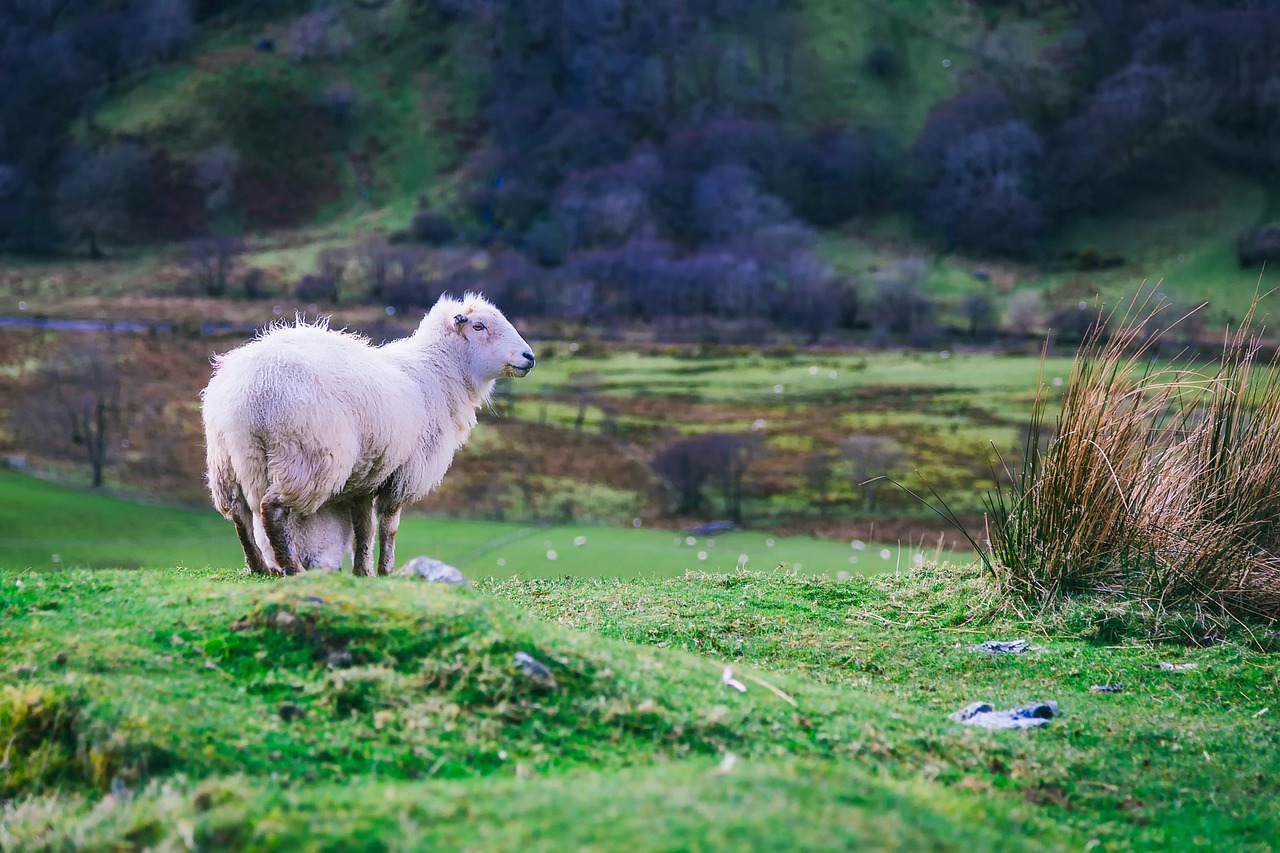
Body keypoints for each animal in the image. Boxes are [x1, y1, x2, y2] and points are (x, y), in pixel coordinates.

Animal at [202, 289, 532, 573]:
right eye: (479, 326)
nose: (529, 357)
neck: (438, 373)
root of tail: (250, 392)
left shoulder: (366, 475)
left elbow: (364, 527)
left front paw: (363, 571)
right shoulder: (404, 472)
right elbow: (389, 527)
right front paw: (386, 570)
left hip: (227, 461)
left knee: (239, 513)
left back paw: (259, 565)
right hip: (307, 456)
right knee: (272, 508)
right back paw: (290, 567)